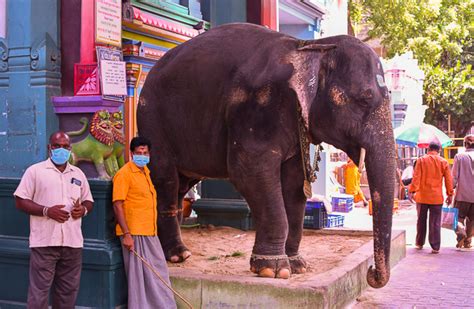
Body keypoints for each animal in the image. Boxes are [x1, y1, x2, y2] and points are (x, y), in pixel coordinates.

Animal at [138, 22, 396, 288]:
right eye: (364, 99)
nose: (371, 273)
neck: (310, 47)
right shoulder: (258, 107)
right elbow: (249, 173)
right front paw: (272, 270)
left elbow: (294, 184)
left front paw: (297, 265)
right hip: (153, 121)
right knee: (166, 179)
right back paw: (176, 255)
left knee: (181, 185)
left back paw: (176, 252)